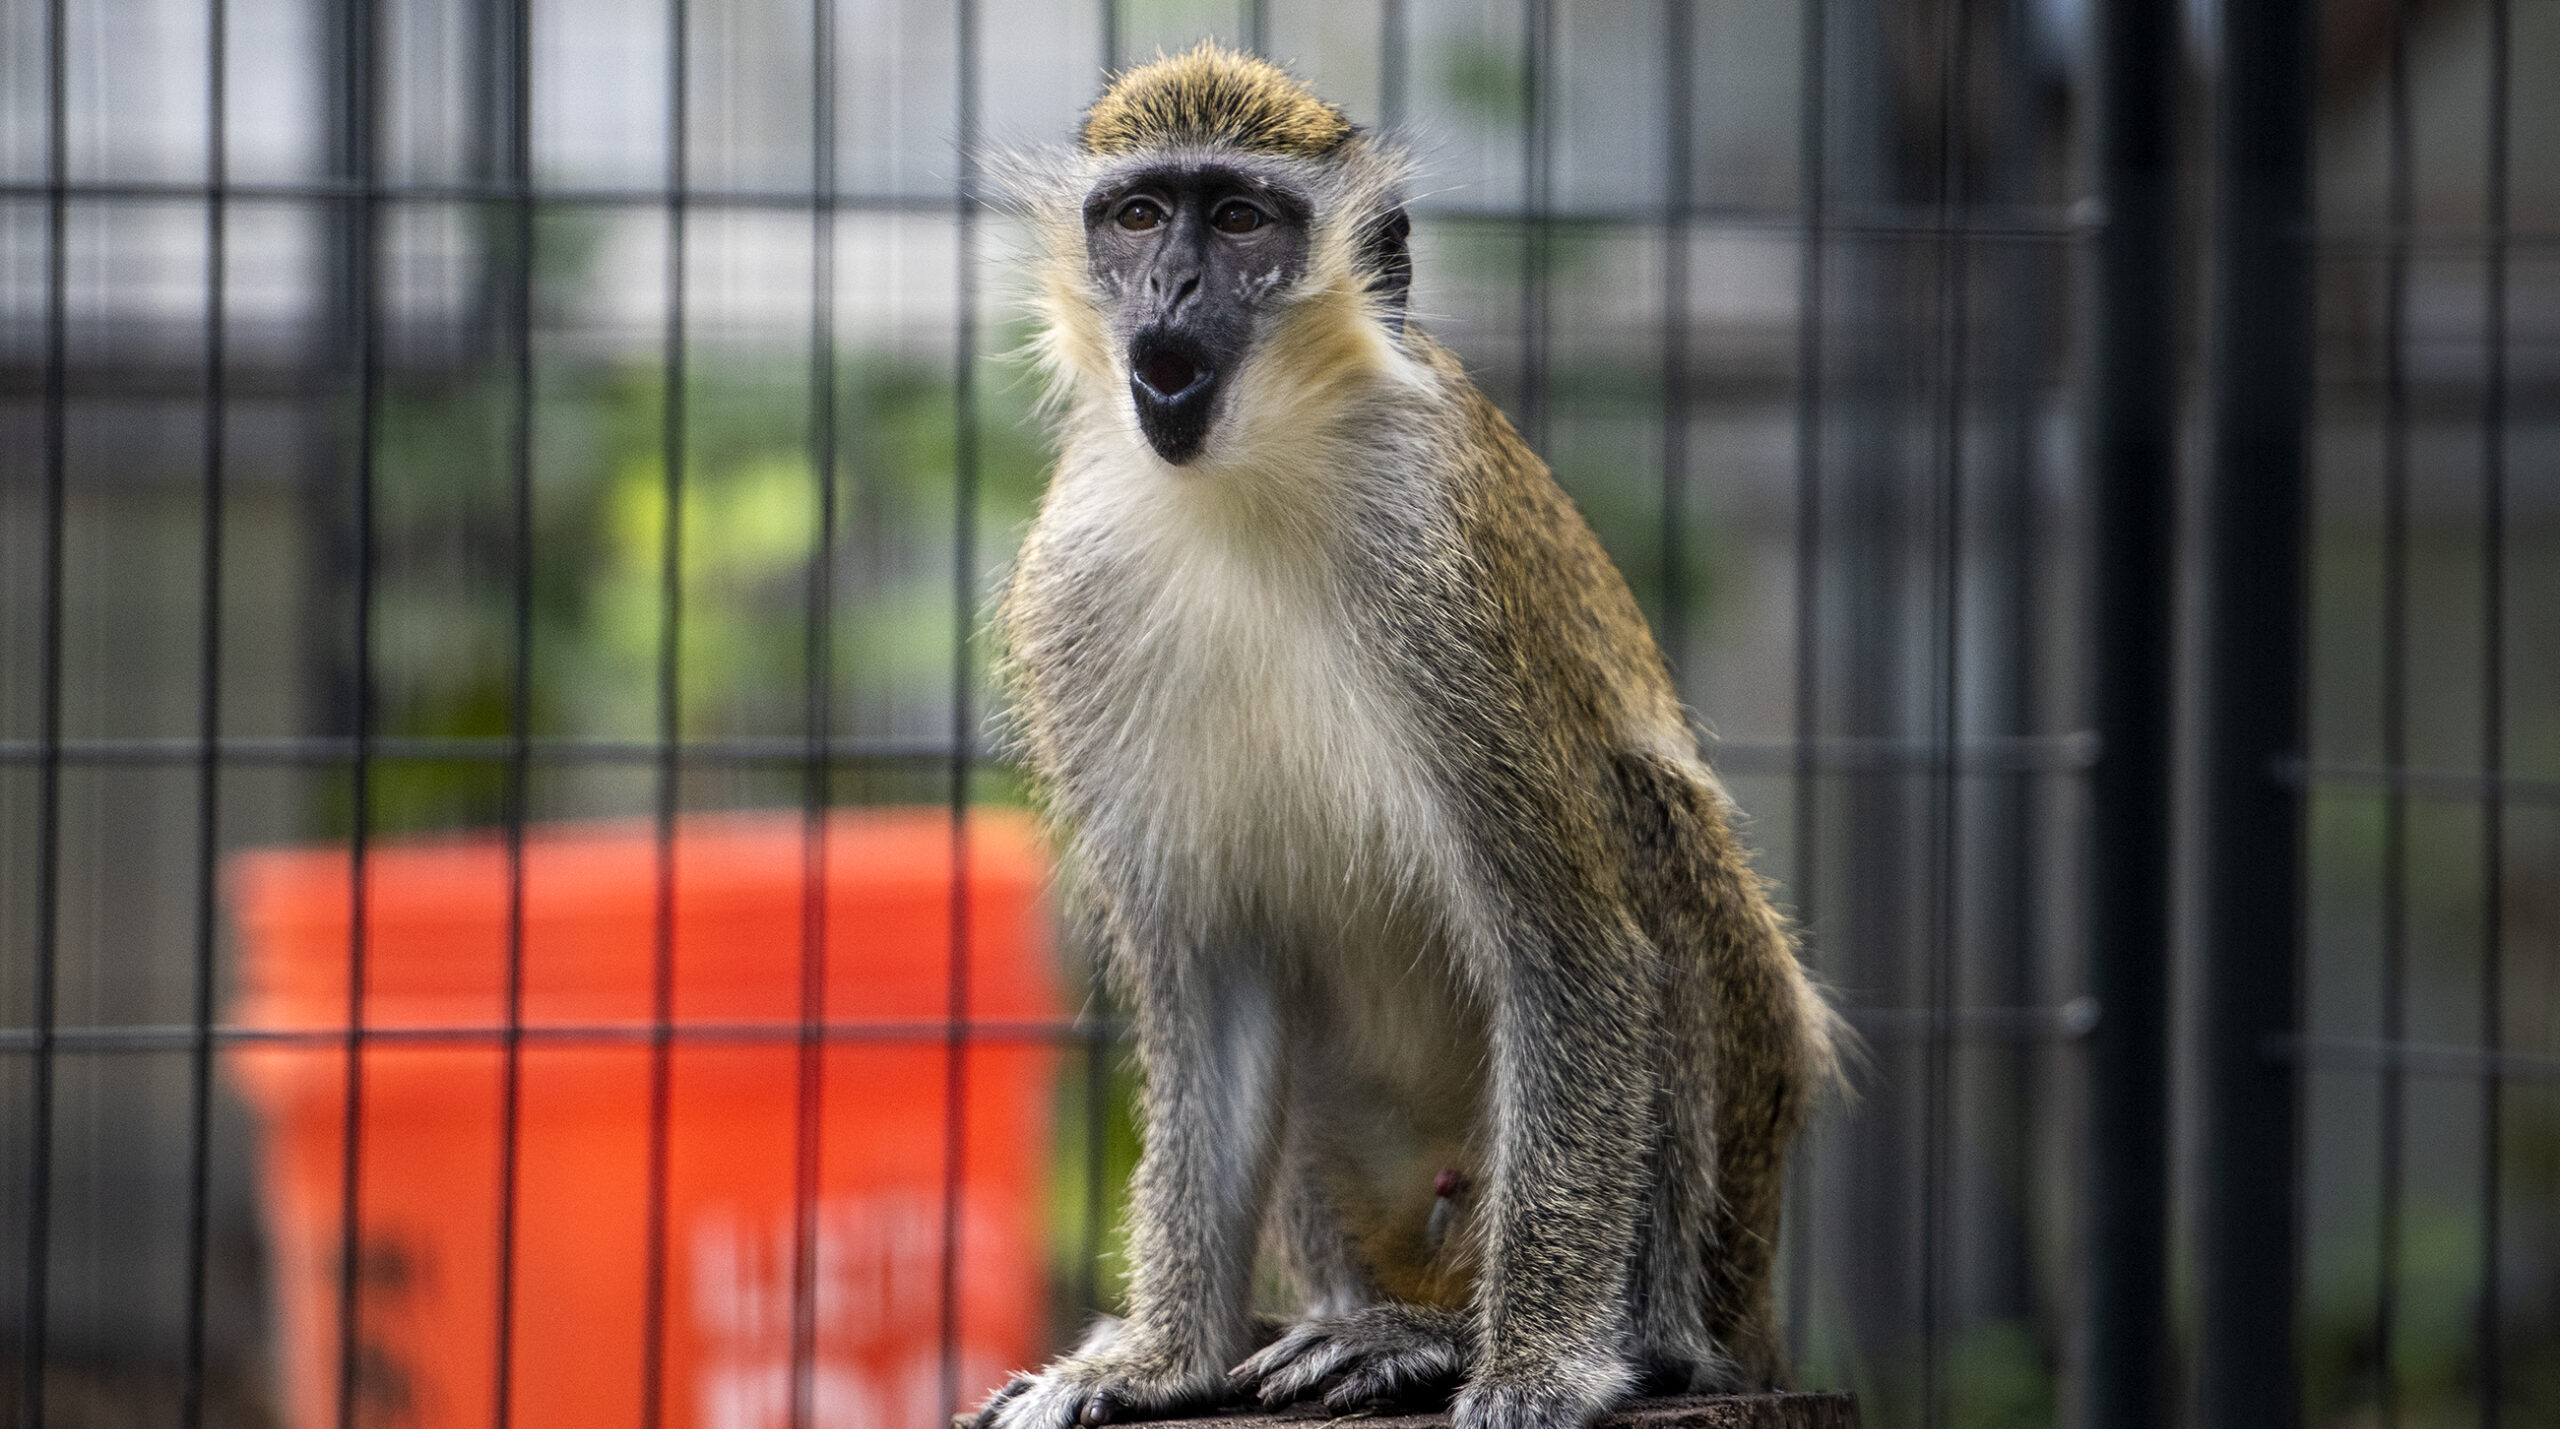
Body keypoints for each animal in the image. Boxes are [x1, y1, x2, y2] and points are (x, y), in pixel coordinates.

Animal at [972, 41, 1843, 1429]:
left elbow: (1576, 947)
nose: (1168, 286)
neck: (1245, 484)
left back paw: (1524, 1341)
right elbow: (1209, 979)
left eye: (1240, 219)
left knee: (1642, 815)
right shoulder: (1073, 590)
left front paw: (1537, 1365)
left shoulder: (1437, 572)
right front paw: (1157, 1357)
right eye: (1139, 215)